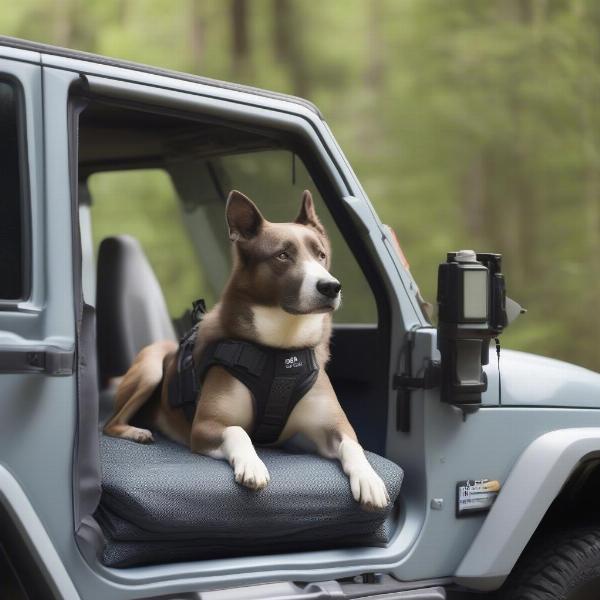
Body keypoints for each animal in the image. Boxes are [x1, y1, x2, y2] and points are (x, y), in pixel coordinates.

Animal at [104, 191, 390, 510]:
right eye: (282, 255)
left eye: (321, 255)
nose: (330, 287)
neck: (280, 349)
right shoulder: (204, 426)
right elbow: (238, 431)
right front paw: (252, 464)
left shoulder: (332, 428)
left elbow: (354, 446)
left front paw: (370, 478)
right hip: (151, 367)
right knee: (109, 425)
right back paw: (136, 431)